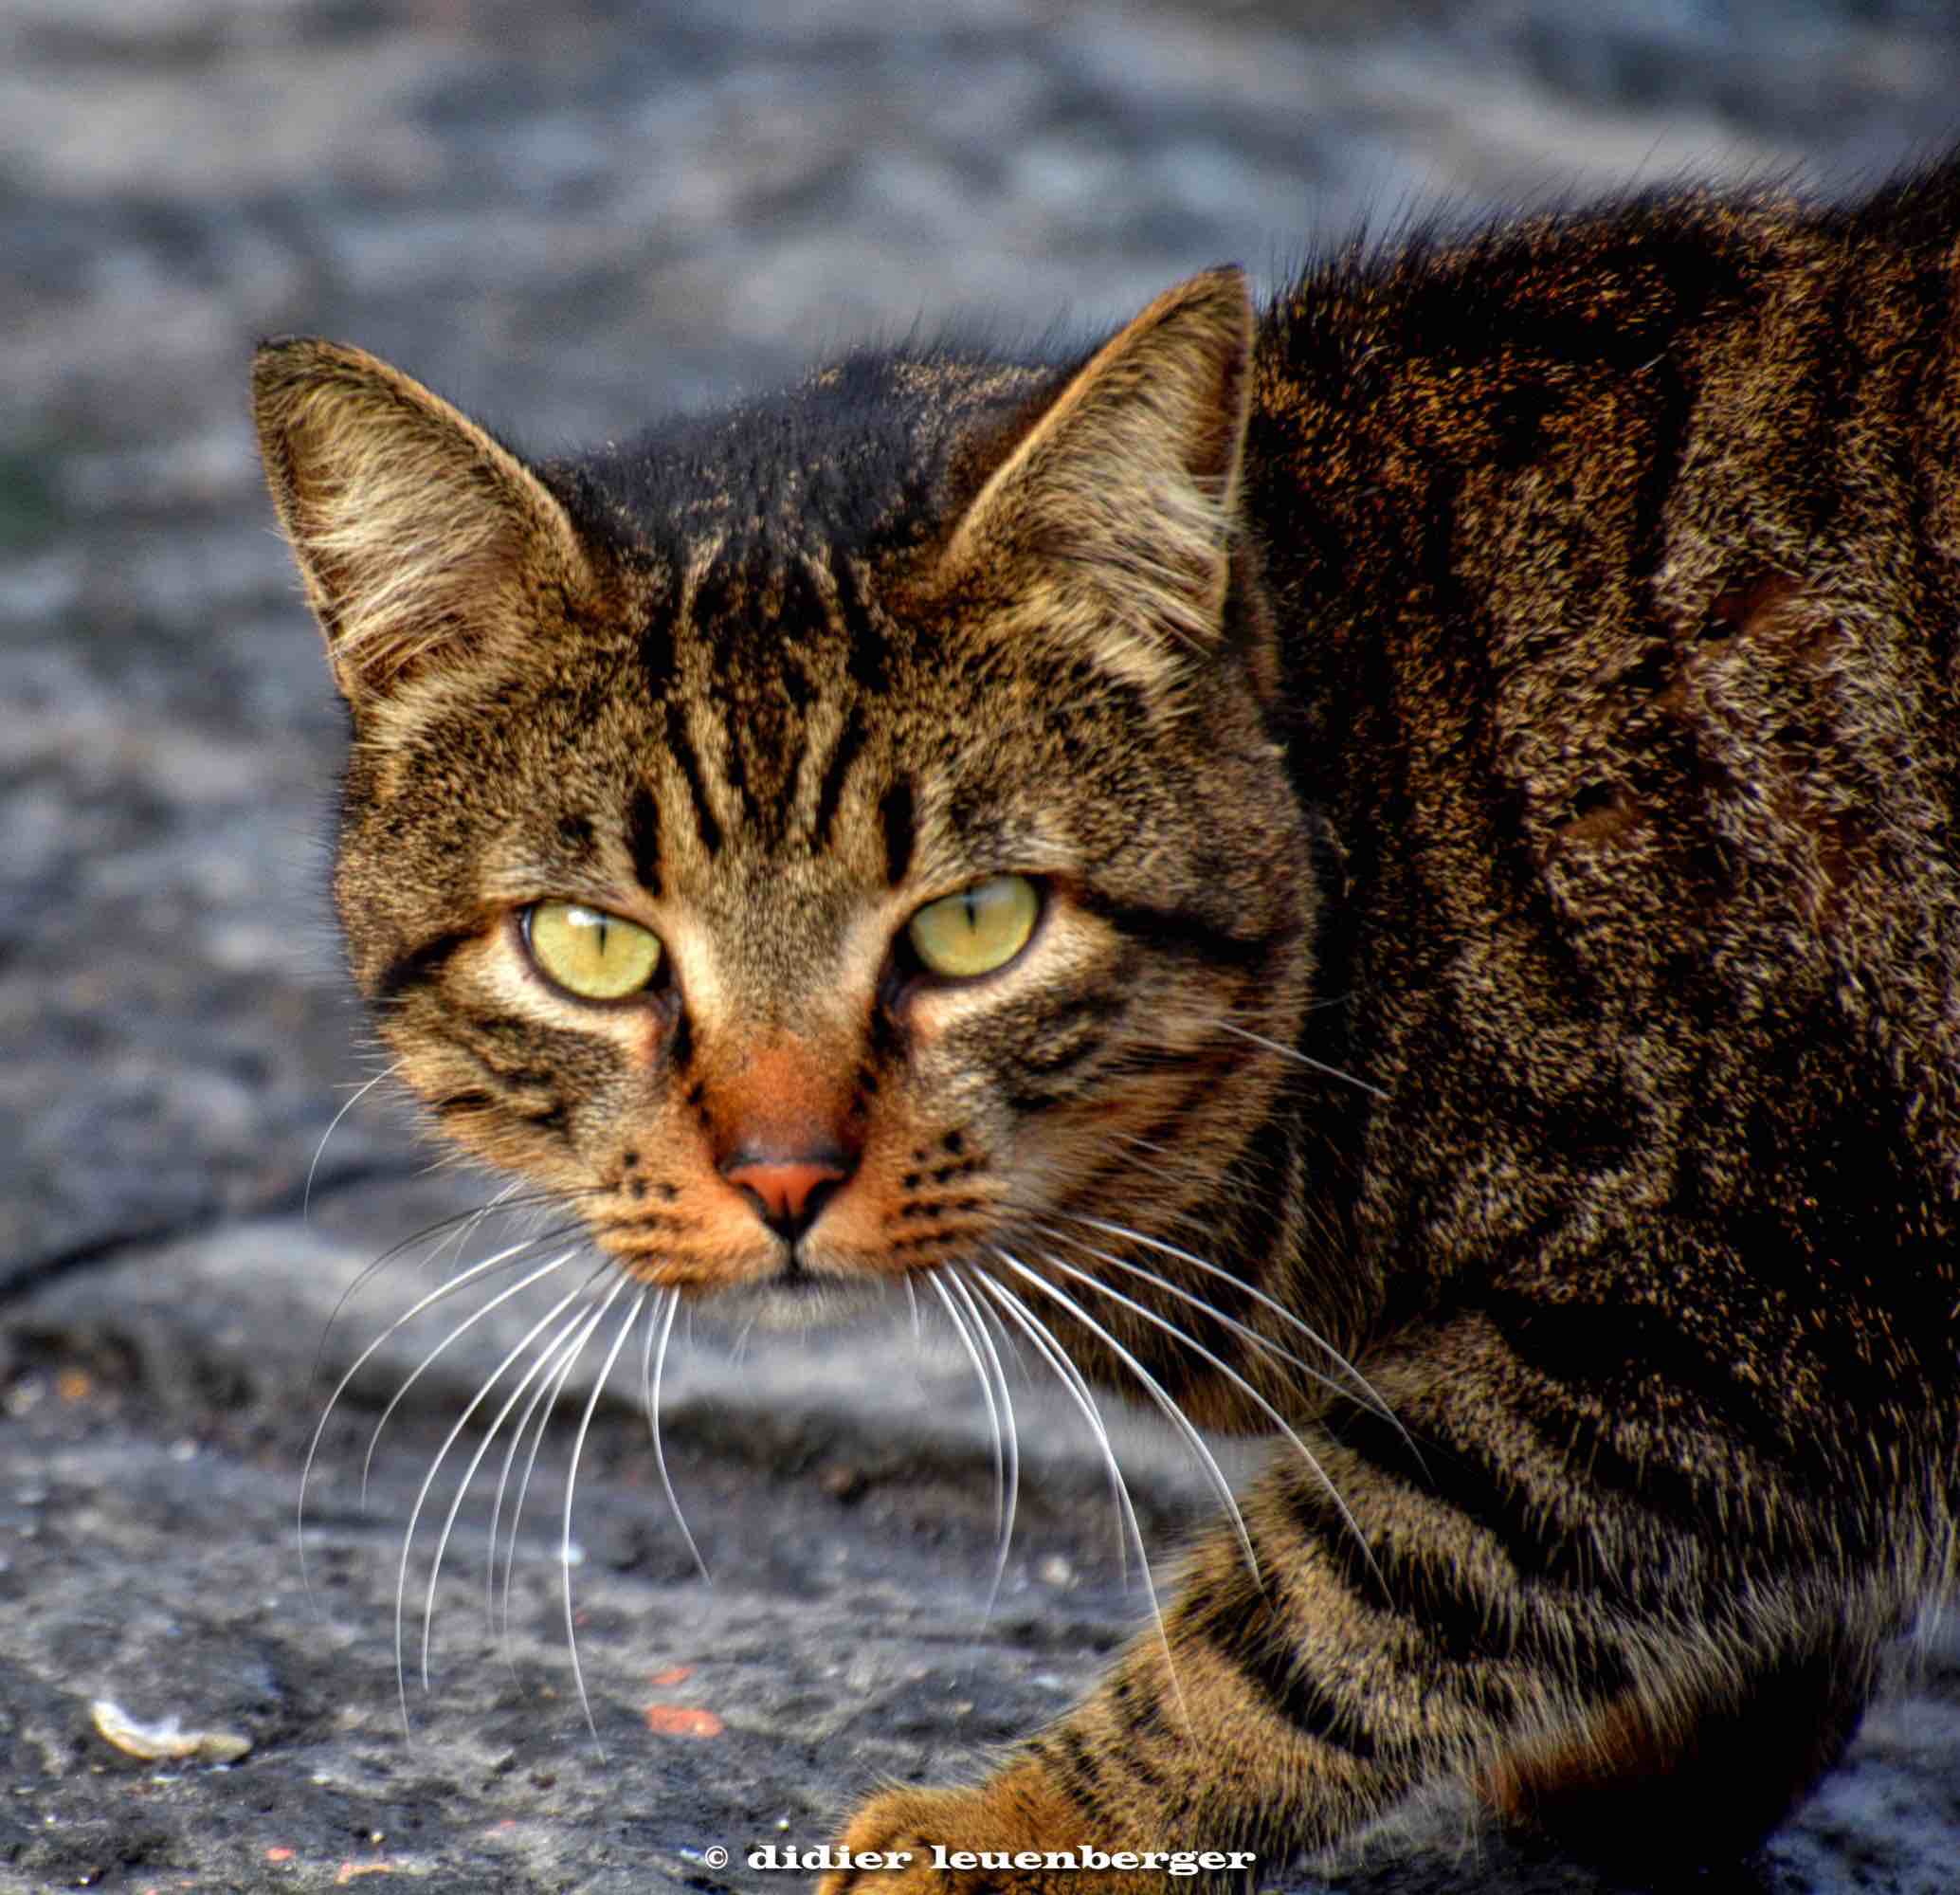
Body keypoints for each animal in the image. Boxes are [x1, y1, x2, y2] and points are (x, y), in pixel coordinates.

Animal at [252, 152, 1960, 1895]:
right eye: (592, 945)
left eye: (977, 922)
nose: (782, 1171)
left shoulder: (1711, 1308)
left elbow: (1324, 1615)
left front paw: (1018, 1826)